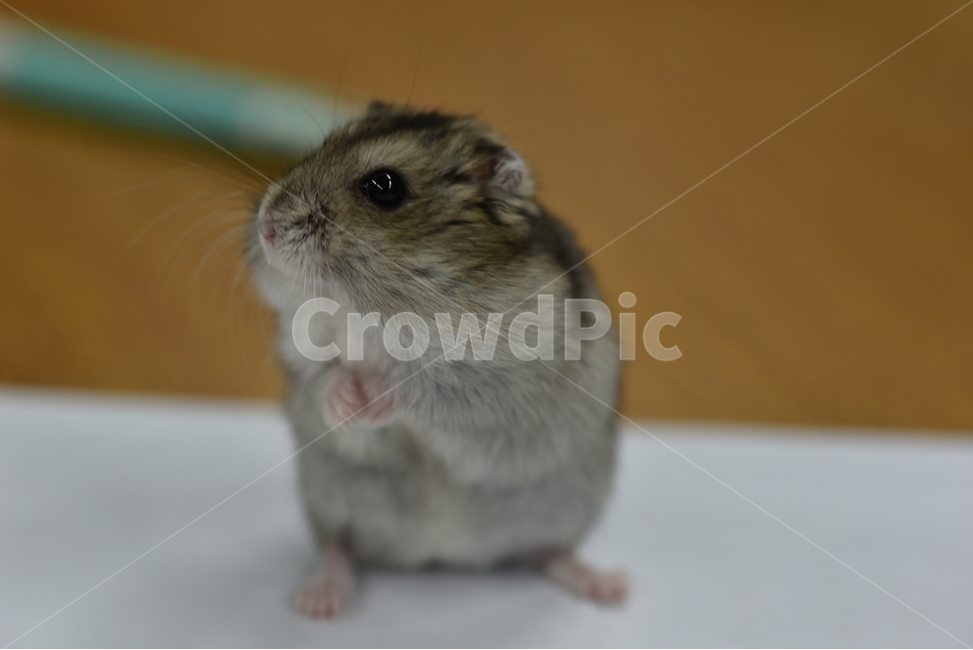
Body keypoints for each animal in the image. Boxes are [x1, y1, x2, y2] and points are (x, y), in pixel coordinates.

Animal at [247, 103, 626, 618]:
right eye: (323, 146)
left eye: (384, 187)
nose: (265, 227)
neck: (370, 307)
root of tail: (438, 554)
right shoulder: (299, 341)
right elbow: (322, 374)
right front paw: (345, 406)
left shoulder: (494, 380)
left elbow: (420, 387)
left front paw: (370, 396)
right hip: (329, 495)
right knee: (338, 545)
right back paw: (319, 603)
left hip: (568, 505)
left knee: (551, 552)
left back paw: (612, 588)